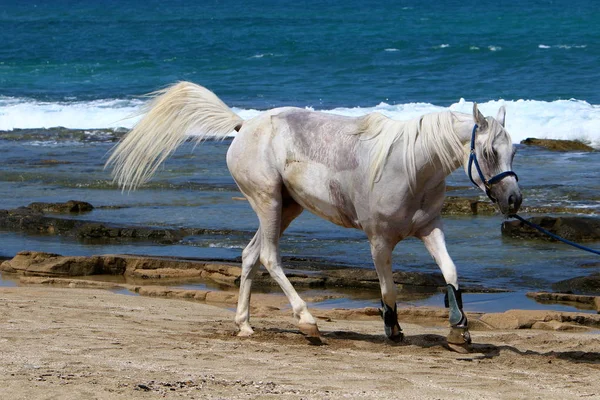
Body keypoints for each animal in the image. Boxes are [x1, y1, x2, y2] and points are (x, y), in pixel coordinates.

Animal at [106, 81, 520, 350]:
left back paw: (244, 326)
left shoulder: (430, 229)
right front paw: (392, 330)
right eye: (488, 153)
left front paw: (459, 331)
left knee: (250, 255)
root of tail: (244, 124)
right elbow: (388, 289)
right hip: (268, 203)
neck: (410, 166)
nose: (514, 199)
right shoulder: (379, 241)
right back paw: (307, 322)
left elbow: (450, 272)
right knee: (269, 257)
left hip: (286, 207)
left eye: (513, 151)